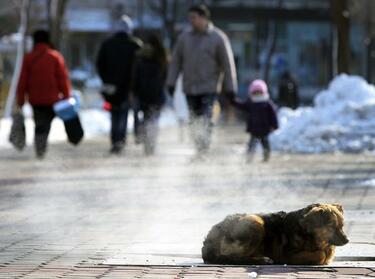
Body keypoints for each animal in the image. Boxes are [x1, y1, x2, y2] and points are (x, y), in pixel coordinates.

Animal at [203, 205, 350, 266]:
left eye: (342, 225)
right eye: (332, 226)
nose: (347, 240)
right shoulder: (287, 254)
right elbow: (321, 255)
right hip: (255, 222)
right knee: (231, 257)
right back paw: (262, 260)